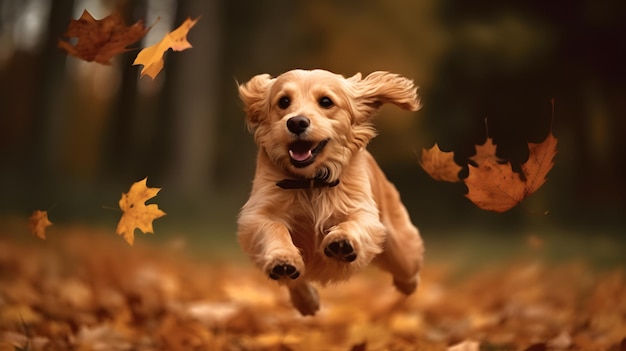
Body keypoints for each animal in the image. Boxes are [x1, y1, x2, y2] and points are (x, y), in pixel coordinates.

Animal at [236, 69, 422, 316]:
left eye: (326, 101)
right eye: (284, 101)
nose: (296, 122)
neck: (310, 182)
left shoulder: (363, 211)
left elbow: (354, 222)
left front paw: (342, 241)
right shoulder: (258, 214)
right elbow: (274, 229)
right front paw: (282, 259)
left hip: (399, 246)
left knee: (408, 268)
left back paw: (407, 285)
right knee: (296, 281)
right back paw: (306, 301)